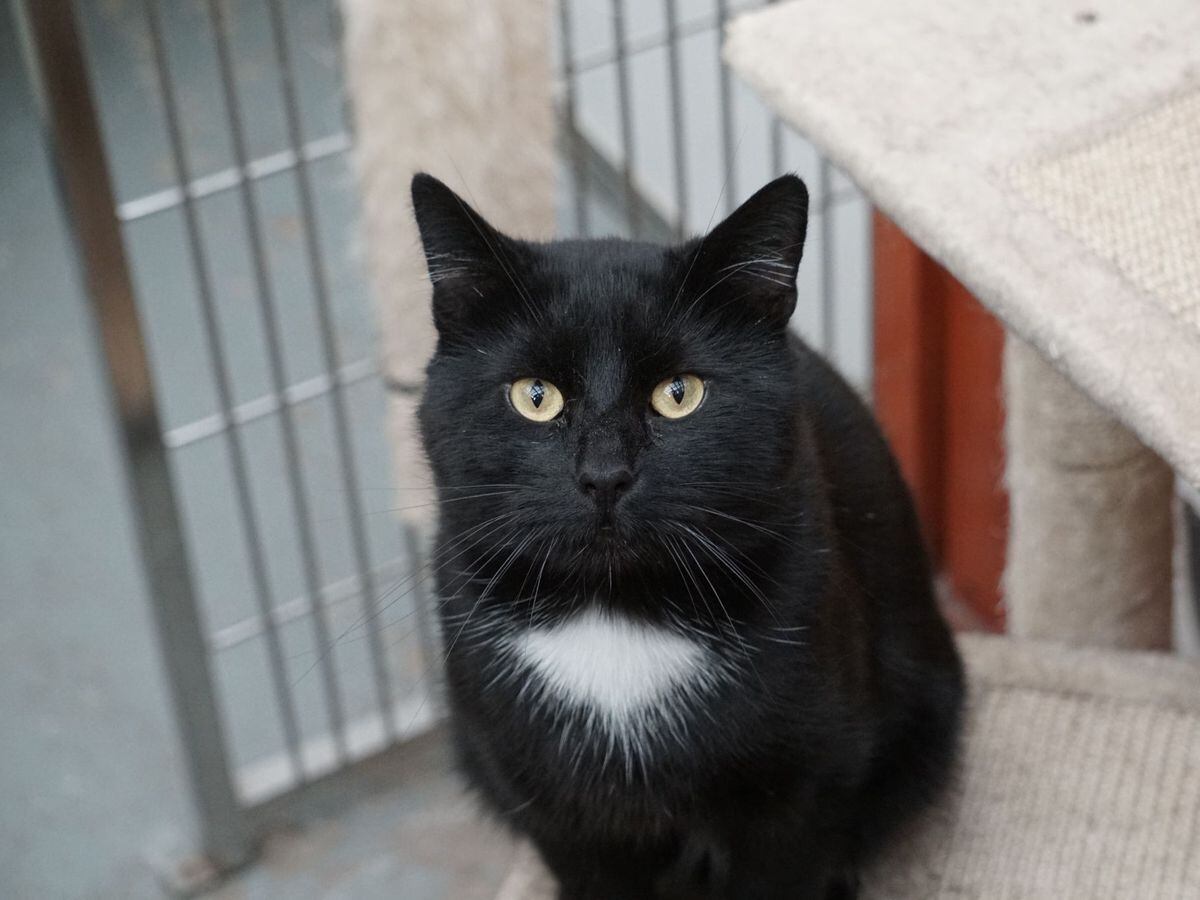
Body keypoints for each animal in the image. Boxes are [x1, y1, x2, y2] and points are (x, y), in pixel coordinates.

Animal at [412, 172, 964, 897]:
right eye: (535, 395)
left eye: (680, 393)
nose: (605, 475)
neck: (615, 615)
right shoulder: (560, 812)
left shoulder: (801, 791)